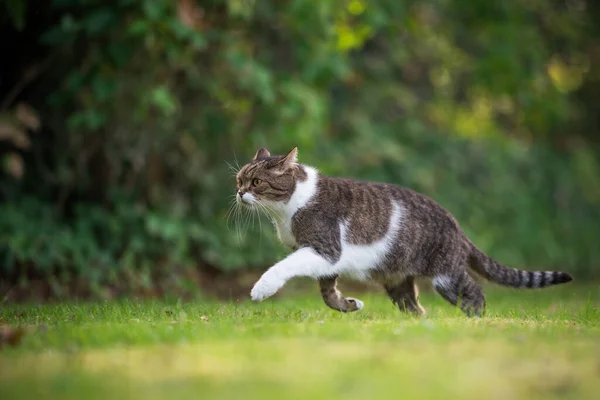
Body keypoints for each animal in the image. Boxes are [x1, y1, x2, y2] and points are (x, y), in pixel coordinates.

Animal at [233, 145, 572, 318]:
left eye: (257, 182)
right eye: (239, 180)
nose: (239, 193)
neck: (288, 208)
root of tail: (457, 226)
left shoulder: (324, 249)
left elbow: (284, 266)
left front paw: (261, 289)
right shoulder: (326, 258)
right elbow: (328, 293)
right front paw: (350, 305)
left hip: (446, 276)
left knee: (475, 292)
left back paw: (475, 323)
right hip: (397, 279)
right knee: (414, 306)